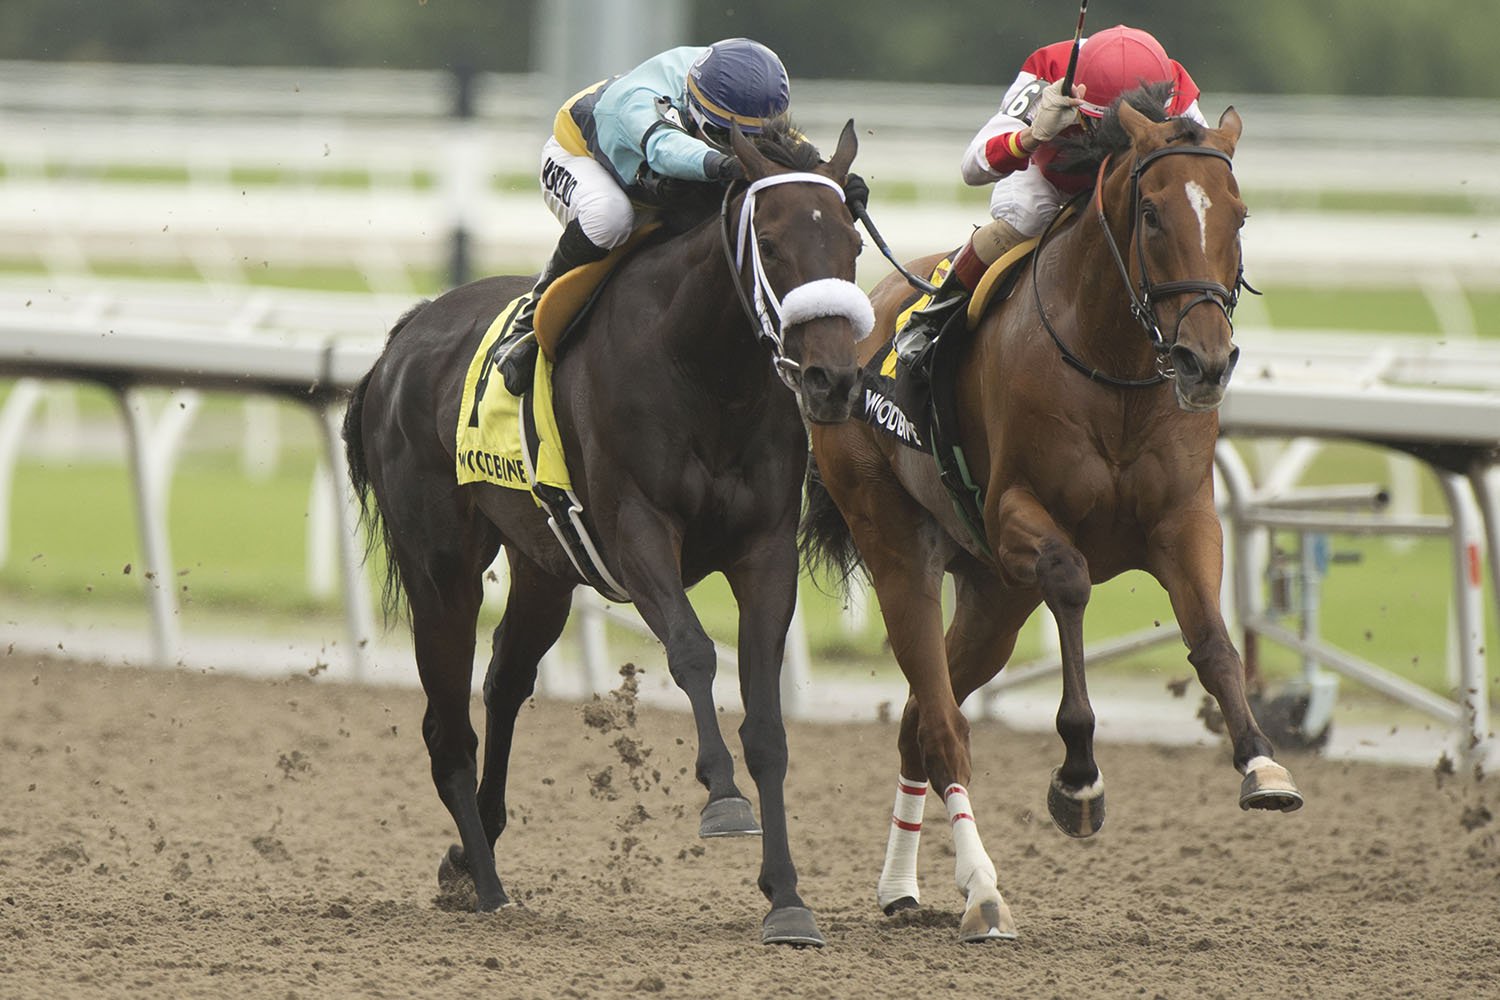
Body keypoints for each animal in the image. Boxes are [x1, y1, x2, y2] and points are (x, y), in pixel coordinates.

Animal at [342, 122, 870, 947]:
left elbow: (767, 724)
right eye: (772, 244)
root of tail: (400, 339)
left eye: (852, 241)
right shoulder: (637, 531)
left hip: (545, 566)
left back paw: (470, 853)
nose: (832, 381)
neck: (707, 371)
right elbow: (691, 650)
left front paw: (786, 897)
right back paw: (488, 886)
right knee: (447, 728)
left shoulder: (764, 551)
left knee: (504, 681)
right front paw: (722, 796)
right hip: (441, 569)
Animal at [804, 89, 1308, 941]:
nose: (1206, 361)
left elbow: (1212, 638)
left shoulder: (1184, 520)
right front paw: (1077, 777)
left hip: (993, 601)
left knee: (917, 718)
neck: (1118, 368)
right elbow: (1071, 583)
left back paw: (903, 887)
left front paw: (1260, 760)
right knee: (940, 722)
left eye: (1238, 215)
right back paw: (978, 891)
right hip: (898, 542)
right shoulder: (1017, 515)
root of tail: (867, 308)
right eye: (1152, 214)